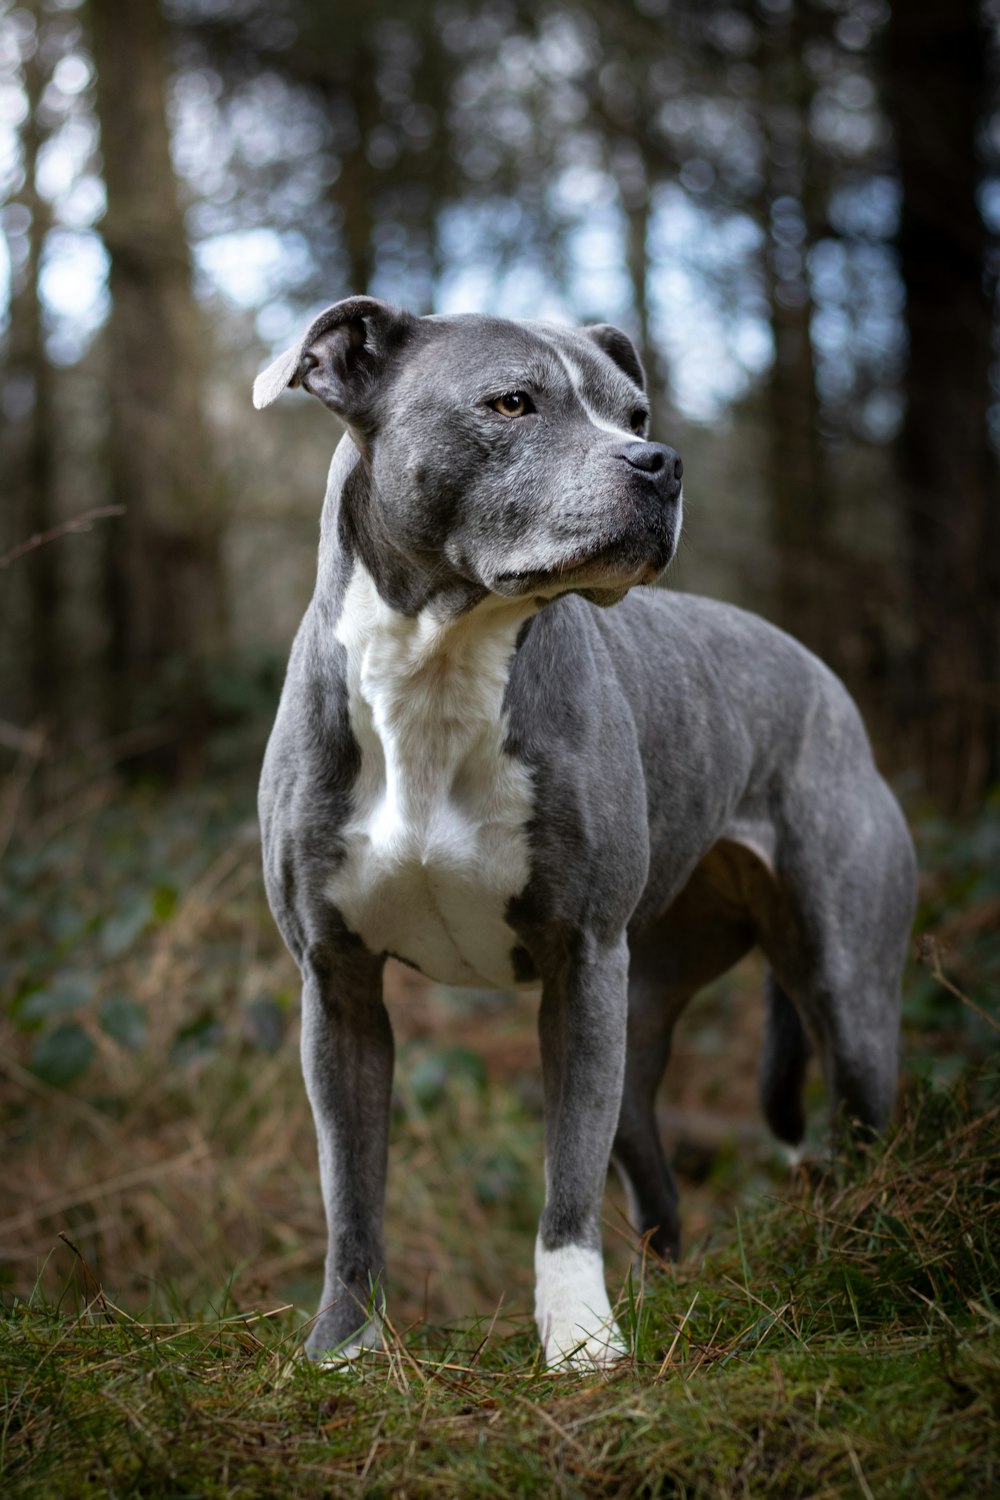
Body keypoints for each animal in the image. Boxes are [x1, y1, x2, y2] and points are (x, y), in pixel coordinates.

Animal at [254, 292, 917, 1374]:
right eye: (511, 403)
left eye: (634, 413)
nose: (661, 462)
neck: (441, 671)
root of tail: (821, 676)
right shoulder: (338, 983)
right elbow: (351, 1190)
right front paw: (344, 1348)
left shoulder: (578, 961)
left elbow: (565, 1183)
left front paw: (578, 1345)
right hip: (644, 1008)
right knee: (648, 1159)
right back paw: (667, 1288)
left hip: (837, 985)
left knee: (858, 1120)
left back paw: (862, 1253)